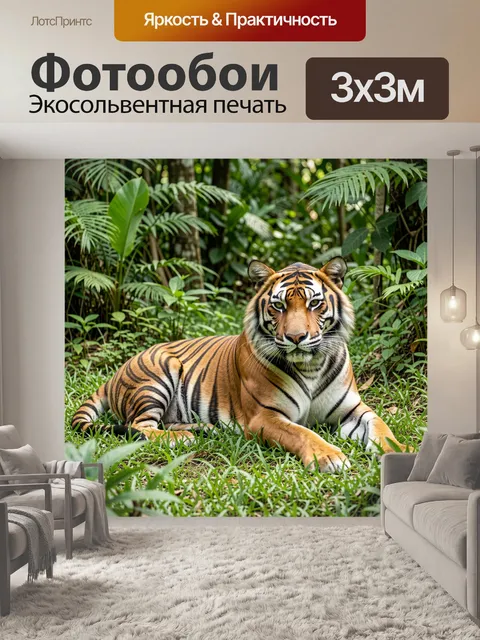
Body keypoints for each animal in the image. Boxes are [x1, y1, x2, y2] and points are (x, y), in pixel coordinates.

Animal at [72, 258, 405, 472]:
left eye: (315, 303)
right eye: (278, 305)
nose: (297, 337)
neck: (311, 366)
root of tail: (115, 373)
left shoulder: (354, 409)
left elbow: (382, 428)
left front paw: (400, 453)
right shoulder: (265, 417)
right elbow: (303, 433)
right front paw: (329, 457)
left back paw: (203, 429)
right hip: (159, 373)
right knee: (140, 426)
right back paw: (183, 438)